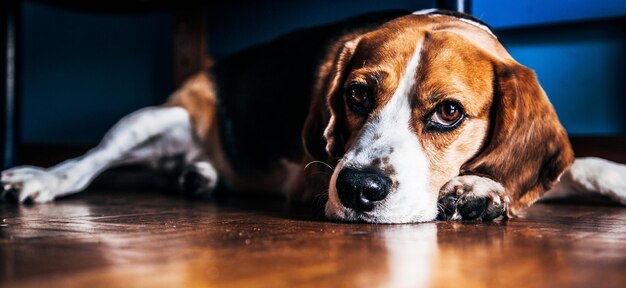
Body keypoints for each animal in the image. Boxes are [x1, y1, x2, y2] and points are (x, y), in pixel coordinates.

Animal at [3, 10, 624, 223]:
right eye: (356, 95)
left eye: (448, 112)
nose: (358, 189)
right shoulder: (310, 178)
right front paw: (478, 189)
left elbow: (583, 164)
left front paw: (482, 186)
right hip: (156, 120)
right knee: (88, 162)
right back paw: (37, 179)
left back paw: (196, 176)